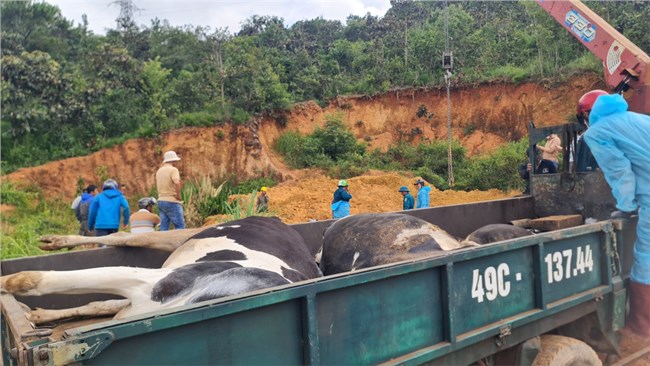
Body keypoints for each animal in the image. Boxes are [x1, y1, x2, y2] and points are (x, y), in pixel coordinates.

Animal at [0, 217, 322, 324]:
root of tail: (277, 219)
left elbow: (32, 278)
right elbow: (33, 278)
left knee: (102, 302)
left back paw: (38, 314)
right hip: (184, 236)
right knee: (127, 237)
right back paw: (54, 241)